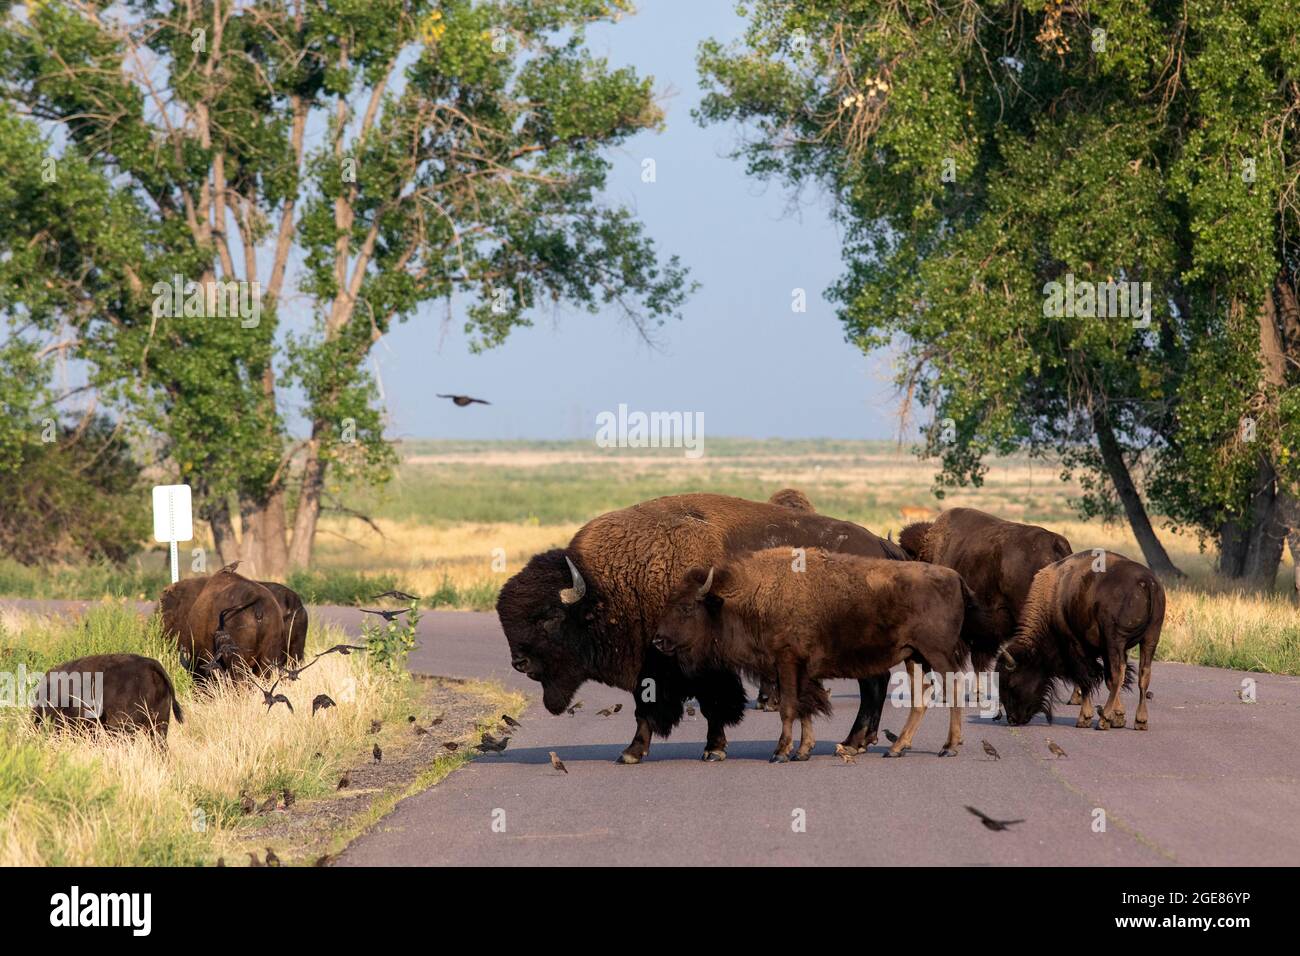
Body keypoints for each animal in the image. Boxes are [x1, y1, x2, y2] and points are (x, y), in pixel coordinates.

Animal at [496, 492, 906, 764]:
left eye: (549, 616)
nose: (519, 662)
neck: (611, 585)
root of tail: (879, 546)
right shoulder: (653, 669)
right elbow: (650, 709)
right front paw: (636, 752)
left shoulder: (693, 667)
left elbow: (708, 706)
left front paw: (707, 750)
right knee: (876, 683)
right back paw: (858, 742)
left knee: (874, 684)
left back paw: (853, 743)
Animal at [652, 549, 996, 761]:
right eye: (668, 603)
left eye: (686, 607)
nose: (657, 640)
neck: (751, 596)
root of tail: (954, 577)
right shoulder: (797, 671)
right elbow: (805, 707)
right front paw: (802, 751)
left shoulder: (786, 663)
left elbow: (789, 708)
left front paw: (780, 753)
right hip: (913, 656)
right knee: (921, 698)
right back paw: (896, 748)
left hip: (936, 654)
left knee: (952, 689)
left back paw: (949, 747)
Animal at [997, 551, 1165, 730]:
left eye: (1010, 684)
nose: (1012, 719)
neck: (1053, 596)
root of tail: (1147, 582)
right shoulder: (1105, 650)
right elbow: (1107, 679)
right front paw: (1119, 717)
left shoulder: (1077, 647)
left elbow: (1087, 679)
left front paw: (1085, 718)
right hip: (1150, 639)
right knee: (1143, 675)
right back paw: (1140, 721)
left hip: (1116, 640)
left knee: (1118, 674)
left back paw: (1104, 720)